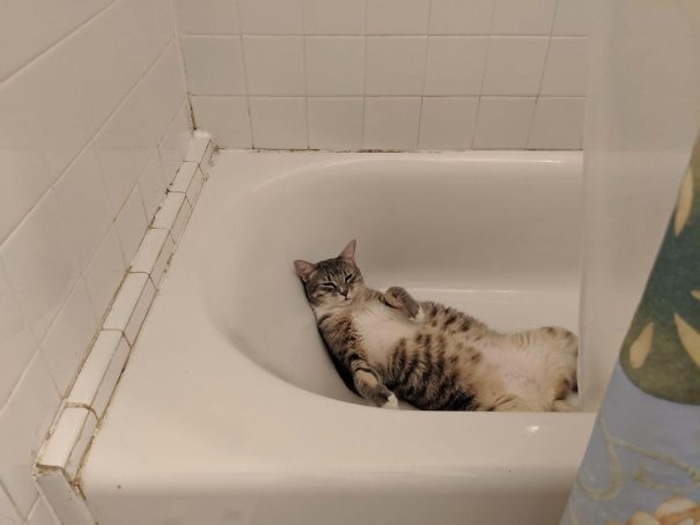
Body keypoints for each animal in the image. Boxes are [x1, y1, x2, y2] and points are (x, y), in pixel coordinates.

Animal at [292, 239, 576, 412]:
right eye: (328, 284)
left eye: (349, 276)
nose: (344, 292)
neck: (353, 307)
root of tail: (549, 396)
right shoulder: (346, 353)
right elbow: (361, 377)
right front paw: (385, 399)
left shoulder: (381, 296)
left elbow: (395, 289)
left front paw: (416, 311)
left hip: (563, 336)